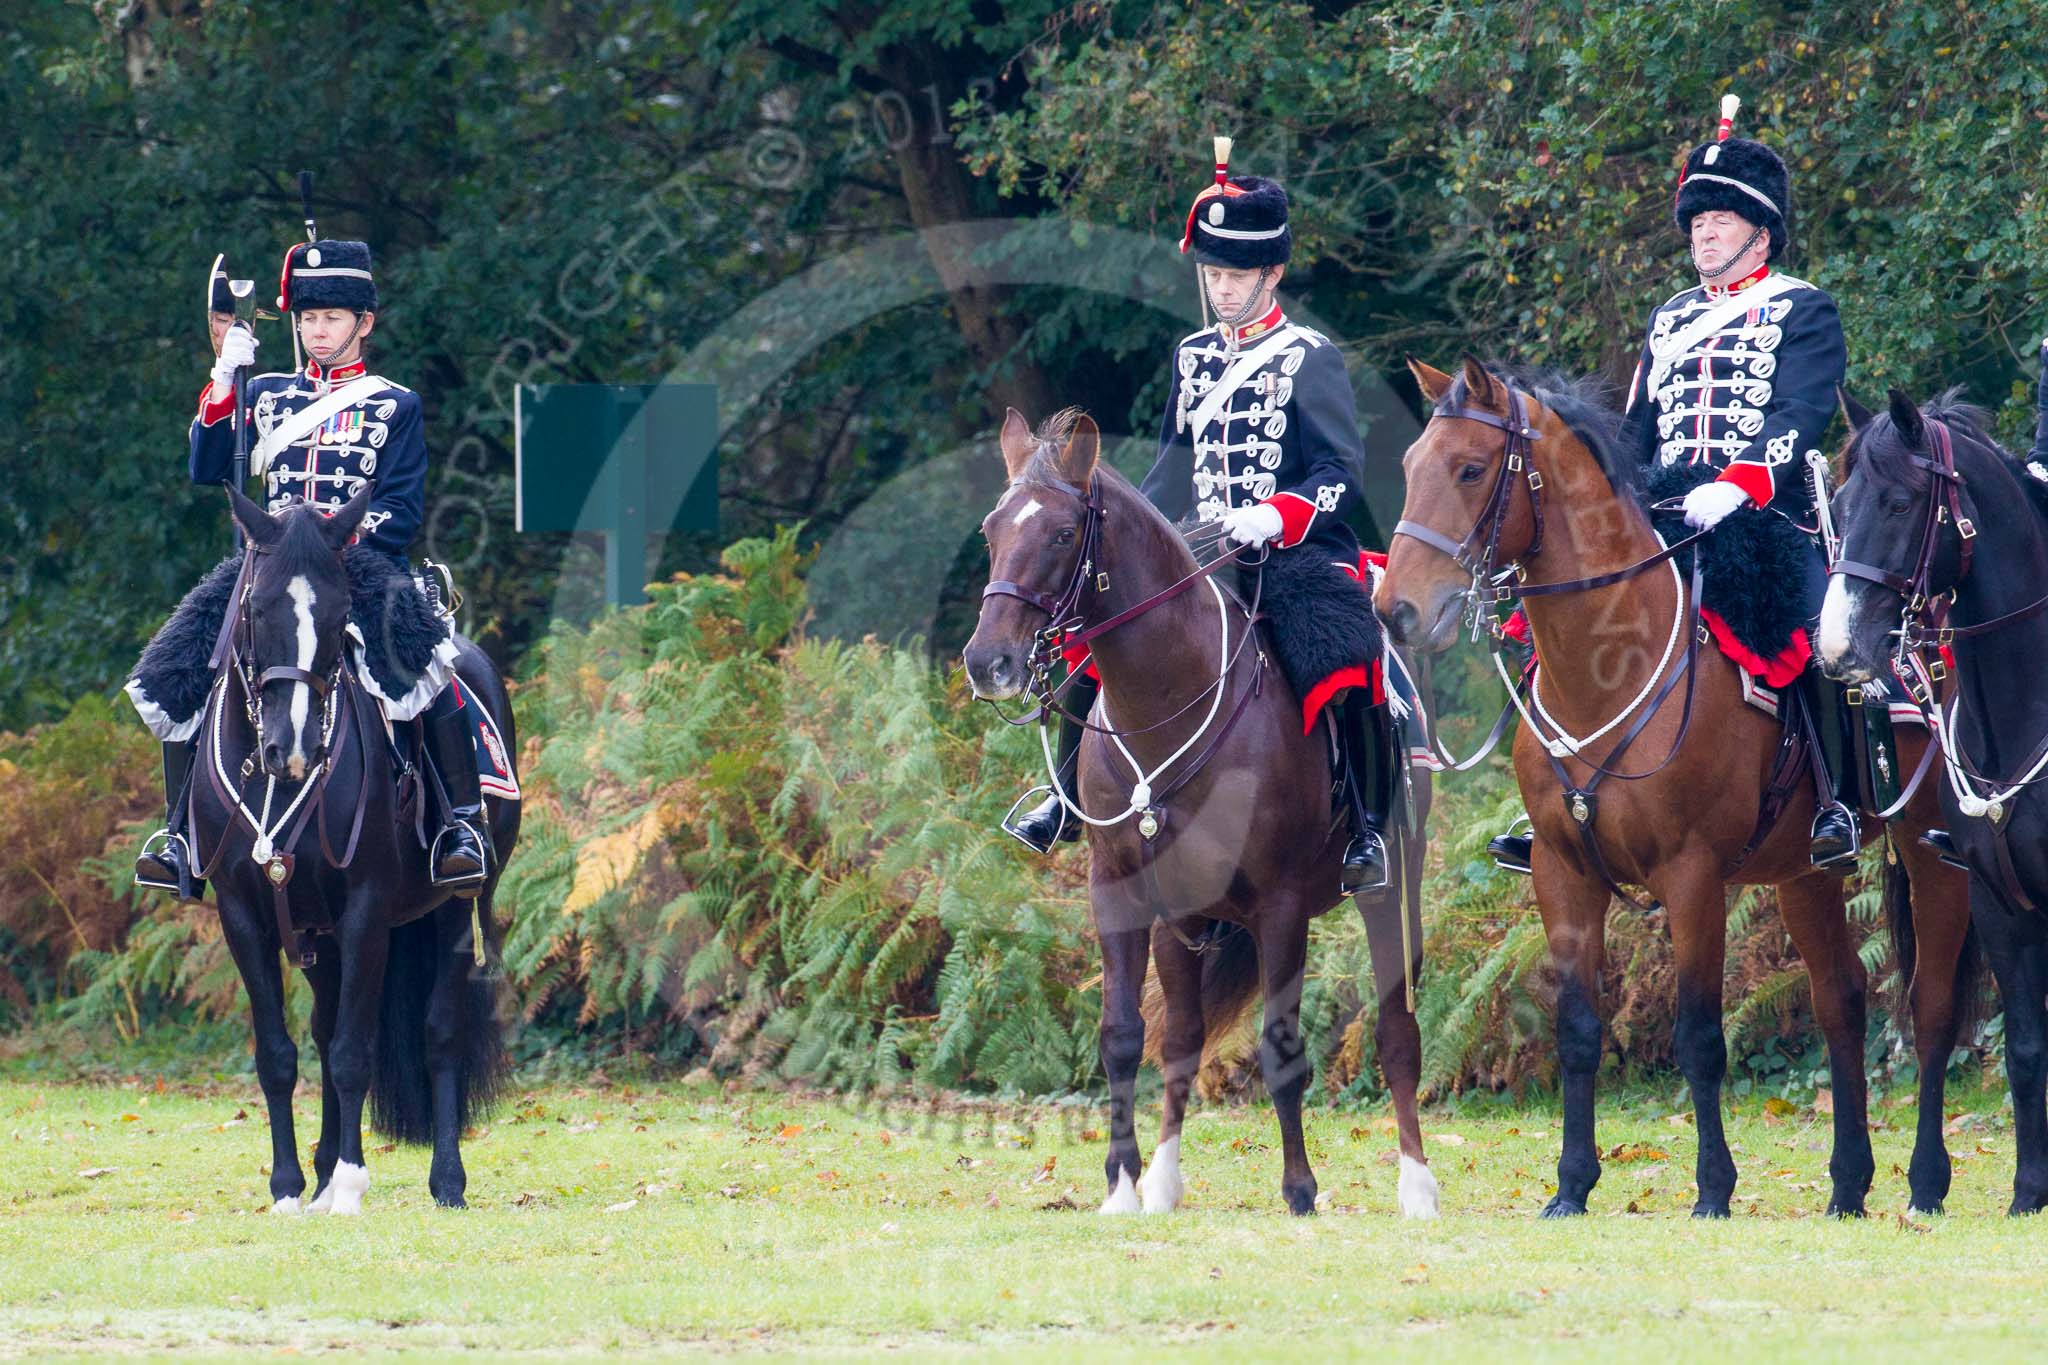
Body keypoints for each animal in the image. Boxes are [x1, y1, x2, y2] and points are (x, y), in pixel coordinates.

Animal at [192, 491, 516, 1219]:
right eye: (258, 608)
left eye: (341, 614)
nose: (293, 747)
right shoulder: (243, 913)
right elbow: (279, 1052)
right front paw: (289, 1186)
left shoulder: (366, 909)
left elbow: (351, 1052)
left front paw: (347, 1185)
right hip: (319, 934)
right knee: (321, 1023)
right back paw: (316, 1175)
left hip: (457, 906)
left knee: (440, 1033)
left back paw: (445, 1181)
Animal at [962, 405, 1433, 1219]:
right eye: (993, 528)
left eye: (1061, 533)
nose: (987, 662)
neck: (1167, 696)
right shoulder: (1119, 892)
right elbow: (1125, 1036)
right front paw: (1123, 1185)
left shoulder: (1280, 904)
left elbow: (1281, 1047)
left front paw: (1300, 1191)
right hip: (1184, 920)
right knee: (1182, 1034)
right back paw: (1163, 1181)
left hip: (1389, 889)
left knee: (1396, 1031)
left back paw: (1417, 1186)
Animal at [1376, 360, 1982, 1219]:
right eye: (1410, 465)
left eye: (1468, 468)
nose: (1396, 610)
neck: (1606, 666)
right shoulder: (1563, 872)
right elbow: (1577, 1029)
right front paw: (1571, 1185)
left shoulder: (1692, 877)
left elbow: (1698, 1035)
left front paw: (1713, 1188)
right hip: (1803, 870)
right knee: (1841, 999)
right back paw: (1846, 1185)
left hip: (1933, 850)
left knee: (1930, 1007)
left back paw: (1925, 1182)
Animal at [1826, 388, 2048, 1211]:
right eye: (1840, 503)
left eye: (1898, 502)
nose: (1837, 645)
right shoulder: (1999, 900)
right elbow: (2025, 1049)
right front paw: (2028, 1192)